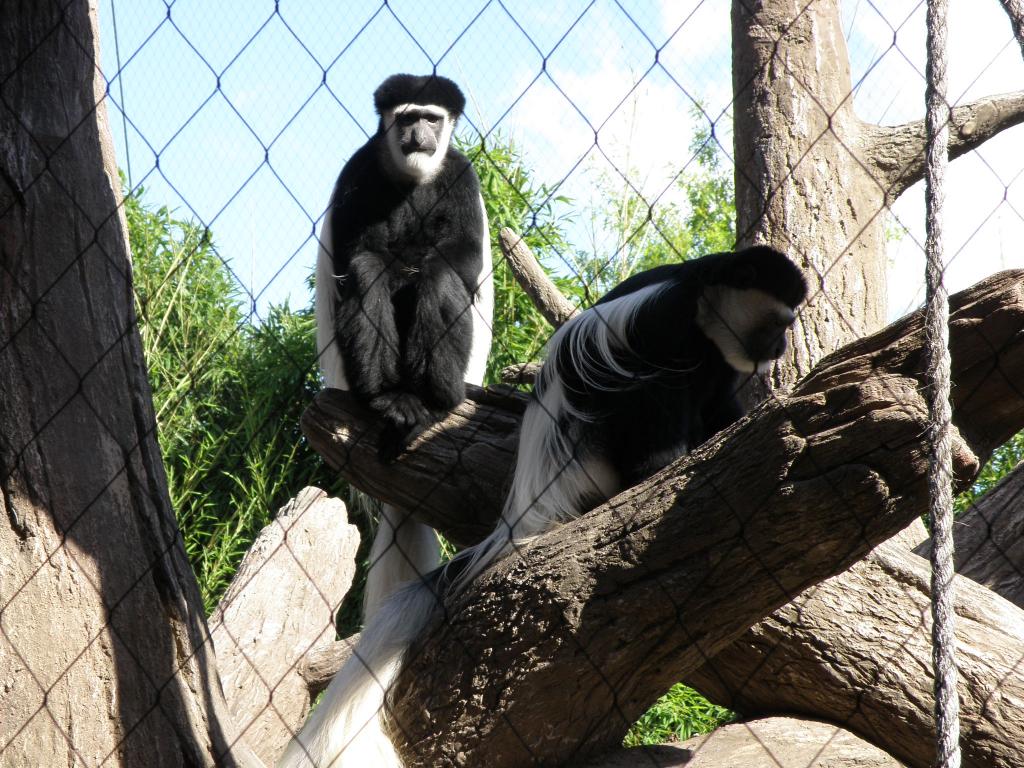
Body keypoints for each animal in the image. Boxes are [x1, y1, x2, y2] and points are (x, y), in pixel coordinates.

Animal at [278, 247, 798, 768]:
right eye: (777, 323)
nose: (779, 348)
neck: (704, 307)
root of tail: (531, 506)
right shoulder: (664, 323)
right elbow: (663, 386)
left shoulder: (720, 363)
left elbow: (722, 400)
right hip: (595, 441)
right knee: (645, 394)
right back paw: (659, 466)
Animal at [311, 72, 495, 626]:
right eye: (407, 117)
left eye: (431, 118)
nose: (418, 135)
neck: (414, 178)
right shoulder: (360, 170)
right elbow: (357, 255)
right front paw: (394, 268)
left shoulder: (461, 176)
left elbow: (462, 259)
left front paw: (416, 267)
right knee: (366, 272)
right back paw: (386, 399)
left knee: (442, 279)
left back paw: (432, 402)